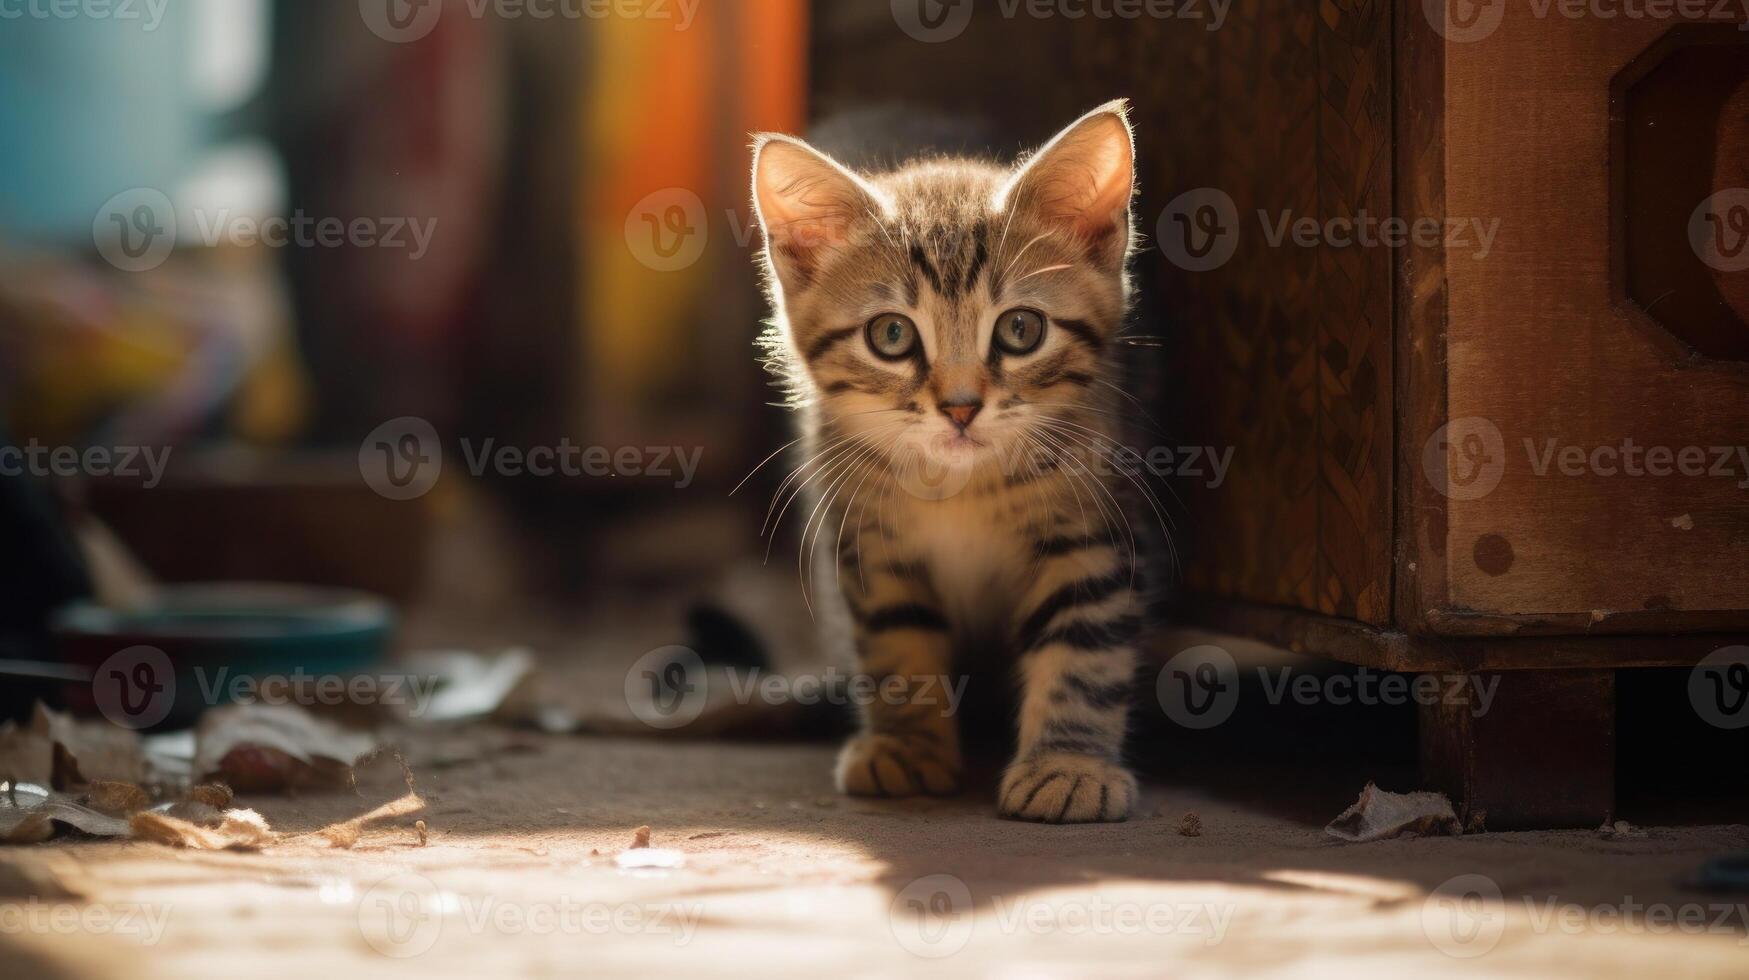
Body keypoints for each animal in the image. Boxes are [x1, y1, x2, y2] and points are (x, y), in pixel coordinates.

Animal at [748, 101, 1147, 819]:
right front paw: (907, 746)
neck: (961, 485)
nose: (961, 408)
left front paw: (1069, 763)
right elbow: (896, 639)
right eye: (891, 334)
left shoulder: (1094, 533)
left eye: (1020, 330)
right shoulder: (870, 544)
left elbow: (1085, 646)